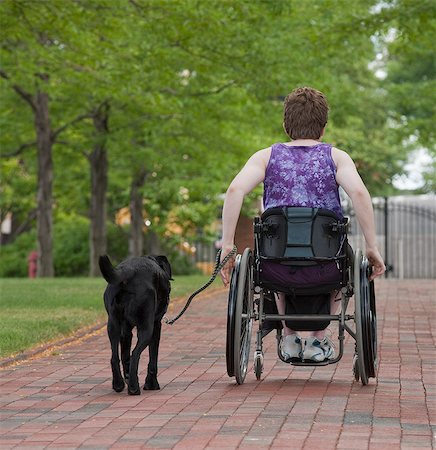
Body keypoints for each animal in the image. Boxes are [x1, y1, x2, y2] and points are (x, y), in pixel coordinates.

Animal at [99, 255, 172, 396]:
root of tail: (127, 272)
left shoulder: (125, 331)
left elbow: (124, 355)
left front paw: (127, 377)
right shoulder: (156, 325)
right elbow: (152, 359)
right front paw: (151, 384)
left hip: (112, 325)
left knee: (115, 357)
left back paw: (119, 384)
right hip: (146, 328)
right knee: (135, 354)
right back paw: (133, 387)